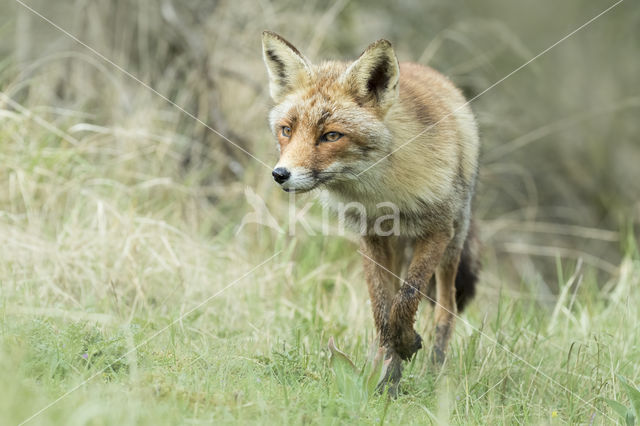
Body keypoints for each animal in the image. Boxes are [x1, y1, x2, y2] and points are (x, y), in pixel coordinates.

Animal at [262, 31, 480, 394]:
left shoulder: (437, 230)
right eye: (286, 130)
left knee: (446, 308)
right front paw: (388, 370)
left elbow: (406, 298)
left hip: (454, 242)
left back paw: (435, 371)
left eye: (331, 136)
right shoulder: (370, 235)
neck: (384, 194)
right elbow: (383, 310)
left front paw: (407, 344)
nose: (280, 174)